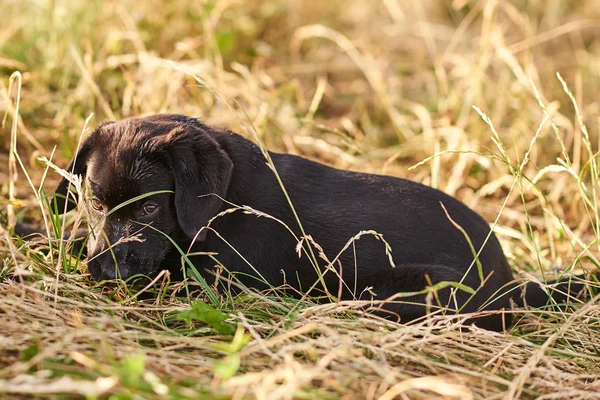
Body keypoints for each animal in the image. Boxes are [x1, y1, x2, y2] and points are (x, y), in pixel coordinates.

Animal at [45, 114, 592, 330]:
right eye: (95, 204)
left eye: (150, 209)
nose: (103, 271)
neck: (222, 201)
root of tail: (509, 281)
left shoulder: (215, 282)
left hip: (401, 290)